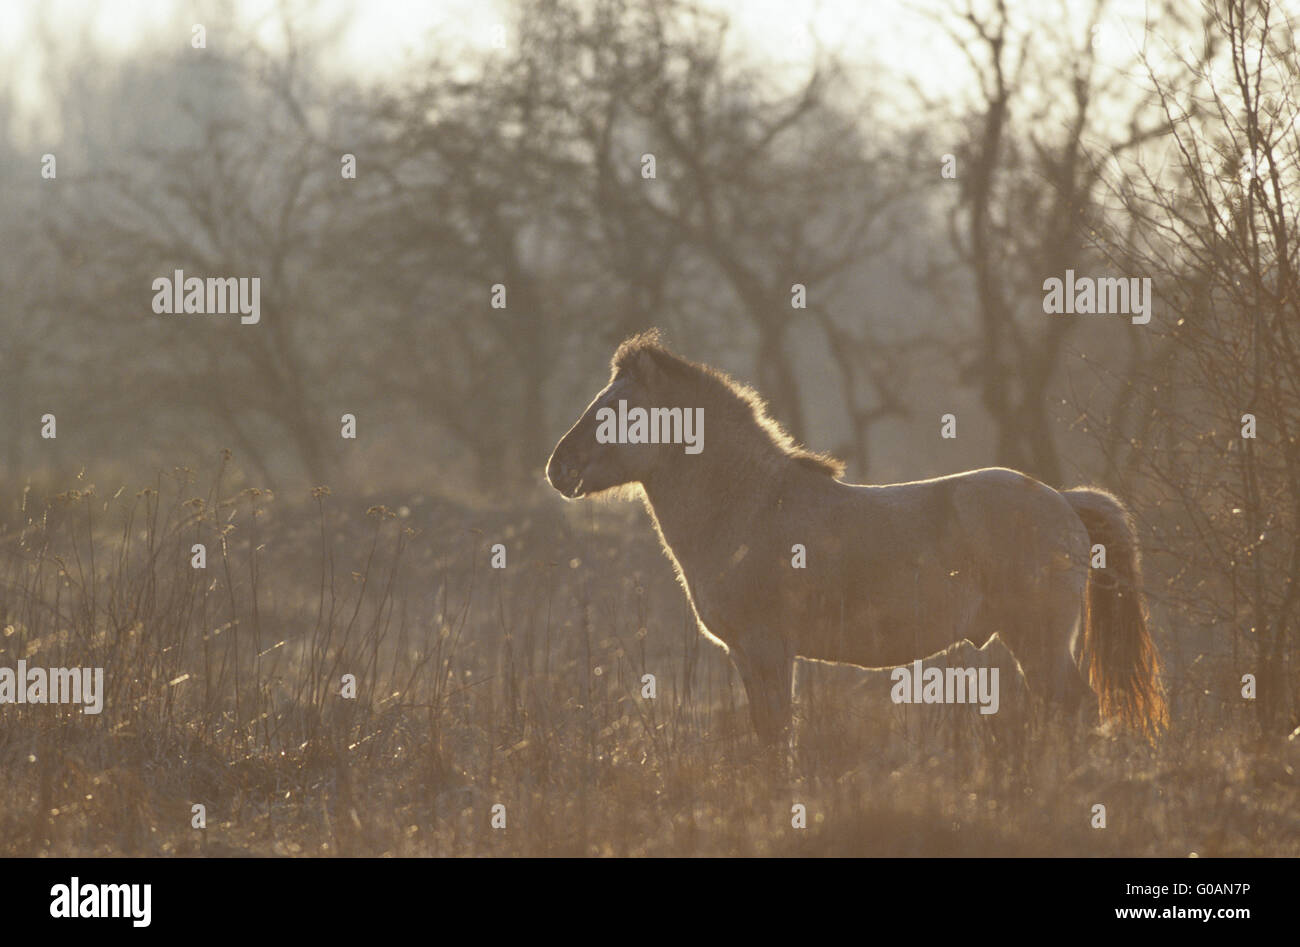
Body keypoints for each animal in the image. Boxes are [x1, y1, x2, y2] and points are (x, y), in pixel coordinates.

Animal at [543, 333, 1164, 749]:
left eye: (618, 408)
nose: (558, 468)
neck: (749, 508)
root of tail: (1063, 500)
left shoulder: (769, 649)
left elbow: (777, 740)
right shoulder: (747, 655)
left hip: (1038, 637)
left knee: (1073, 708)